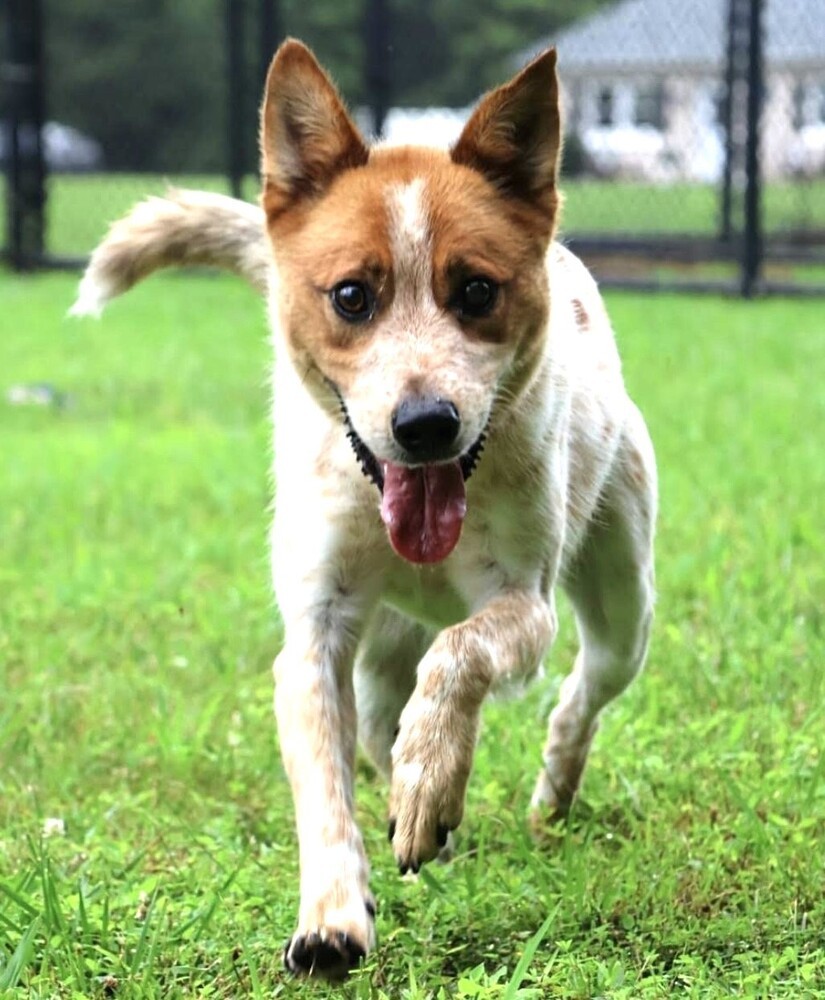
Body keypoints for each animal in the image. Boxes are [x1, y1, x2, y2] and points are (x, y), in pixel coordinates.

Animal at [75, 39, 656, 976]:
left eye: (476, 292)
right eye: (351, 296)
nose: (424, 425)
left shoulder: (522, 604)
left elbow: (464, 654)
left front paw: (429, 784)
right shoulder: (316, 630)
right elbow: (324, 776)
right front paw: (333, 917)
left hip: (620, 598)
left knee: (577, 691)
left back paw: (541, 795)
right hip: (385, 639)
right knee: (384, 713)